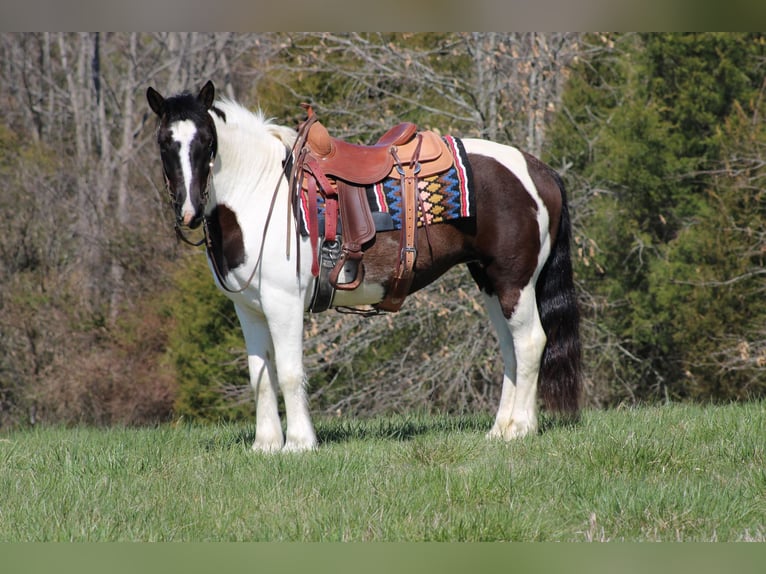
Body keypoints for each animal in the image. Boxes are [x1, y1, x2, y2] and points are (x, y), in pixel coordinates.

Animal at [148, 80, 584, 454]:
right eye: (164, 143)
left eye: (207, 141)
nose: (188, 211)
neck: (259, 191)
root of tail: (538, 170)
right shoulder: (249, 309)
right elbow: (260, 375)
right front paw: (266, 445)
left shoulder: (283, 303)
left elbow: (288, 372)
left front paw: (299, 444)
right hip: (490, 282)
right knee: (510, 349)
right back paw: (501, 430)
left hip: (515, 282)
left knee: (530, 343)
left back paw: (522, 428)